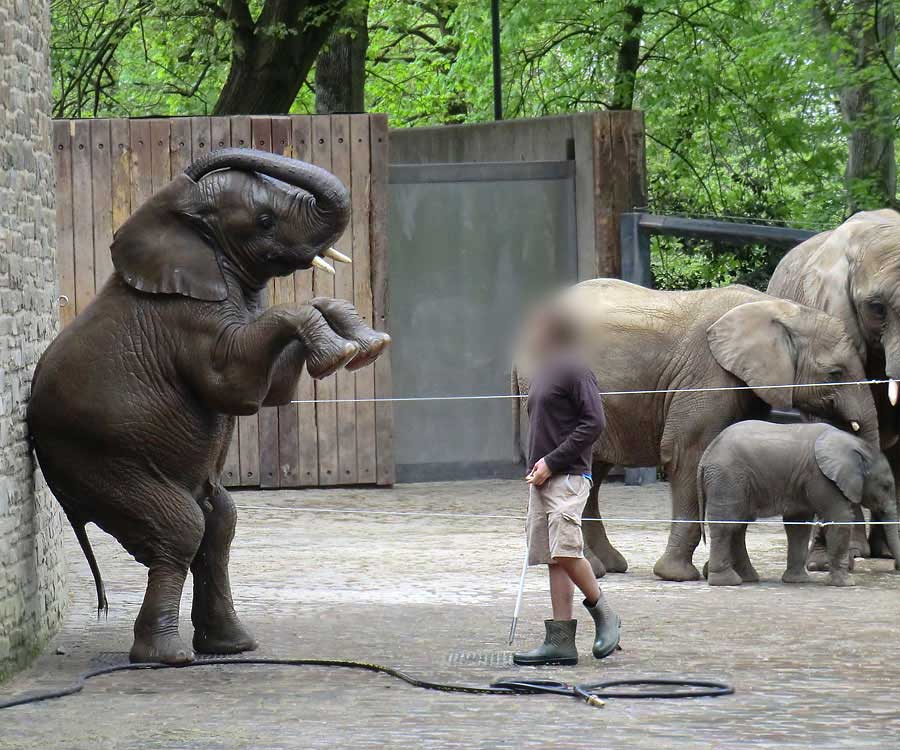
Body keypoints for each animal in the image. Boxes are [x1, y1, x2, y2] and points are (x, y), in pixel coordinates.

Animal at [29, 150, 388, 668]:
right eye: (264, 220)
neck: (188, 233)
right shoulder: (185, 321)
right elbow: (234, 386)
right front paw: (346, 352)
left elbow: (273, 390)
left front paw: (365, 345)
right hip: (98, 460)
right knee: (182, 528)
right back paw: (167, 657)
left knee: (219, 526)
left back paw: (231, 646)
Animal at [512, 280, 880, 584]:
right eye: (835, 373)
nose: (851, 560)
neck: (776, 308)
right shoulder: (707, 377)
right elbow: (688, 454)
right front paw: (678, 575)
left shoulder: (743, 385)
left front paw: (732, 574)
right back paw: (588, 566)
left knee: (594, 472)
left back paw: (608, 566)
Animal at [696, 424, 900, 588]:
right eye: (886, 486)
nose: (896, 567)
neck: (856, 446)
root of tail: (707, 453)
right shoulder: (821, 478)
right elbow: (840, 518)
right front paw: (846, 584)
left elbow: (798, 526)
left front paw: (798, 581)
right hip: (727, 478)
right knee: (727, 526)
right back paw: (727, 582)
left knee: (738, 526)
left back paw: (747, 579)